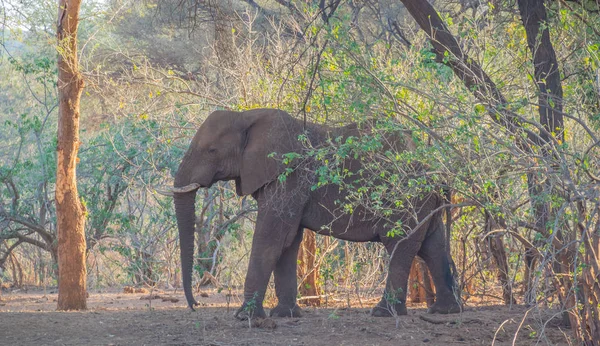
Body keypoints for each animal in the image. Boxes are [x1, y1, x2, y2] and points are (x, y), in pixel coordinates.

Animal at [171, 108, 462, 318]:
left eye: (211, 151)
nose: (196, 305)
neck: (246, 116)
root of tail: (438, 172)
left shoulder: (290, 178)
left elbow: (270, 238)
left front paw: (245, 317)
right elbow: (288, 242)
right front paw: (285, 316)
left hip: (405, 201)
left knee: (401, 245)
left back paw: (383, 313)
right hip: (425, 204)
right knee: (432, 246)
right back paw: (444, 311)